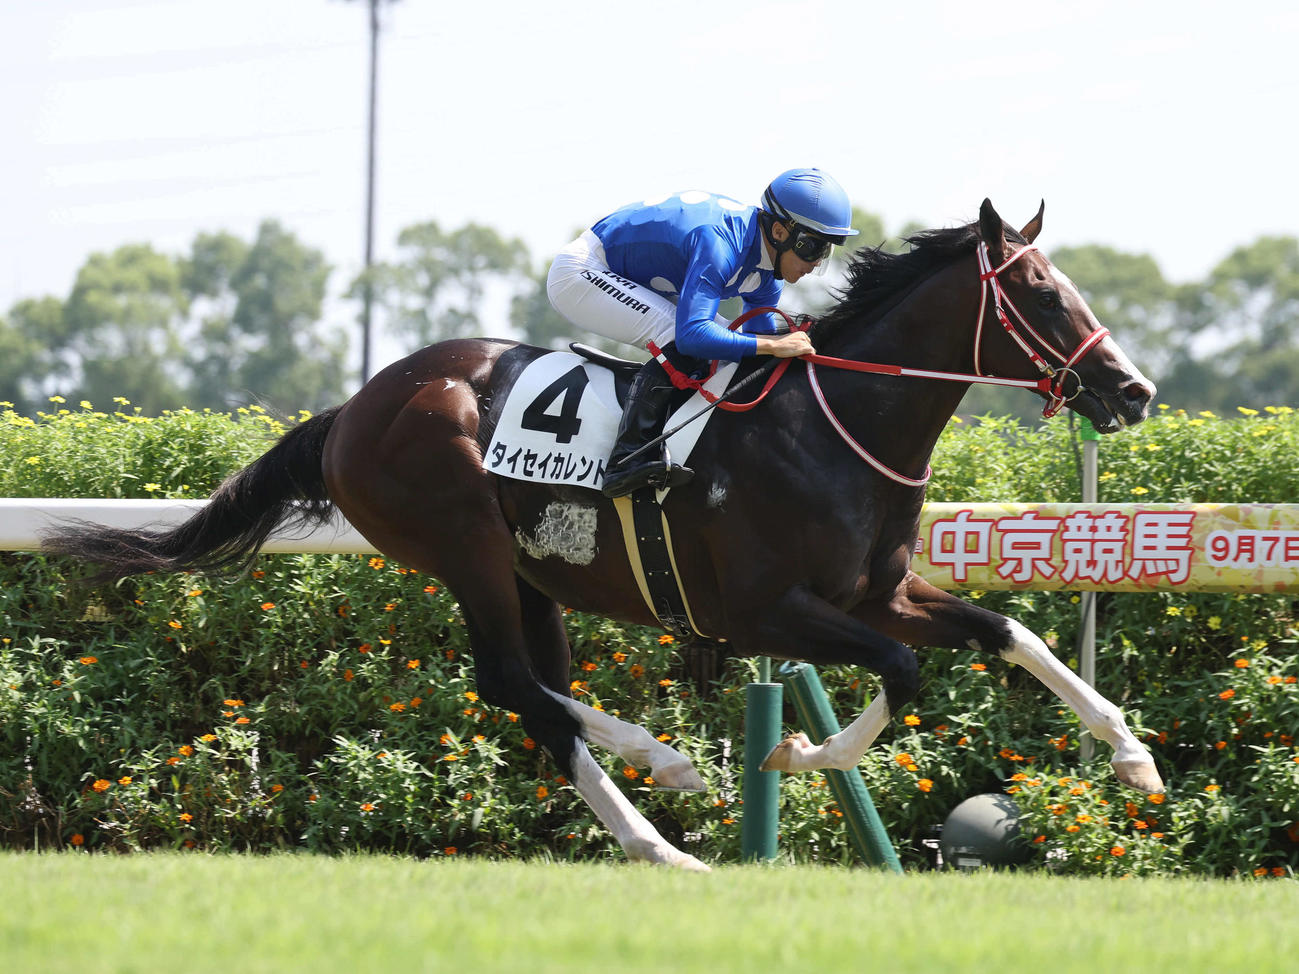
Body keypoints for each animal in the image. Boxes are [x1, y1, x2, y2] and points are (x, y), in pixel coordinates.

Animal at [44, 199, 1161, 871]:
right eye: (1043, 293)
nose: (1133, 390)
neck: (829, 425)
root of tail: (355, 406)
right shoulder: (764, 609)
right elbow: (901, 670)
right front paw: (798, 749)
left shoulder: (872, 592)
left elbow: (1008, 633)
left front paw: (1131, 756)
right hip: (463, 543)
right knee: (510, 683)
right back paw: (664, 784)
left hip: (528, 571)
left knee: (539, 694)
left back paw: (657, 819)